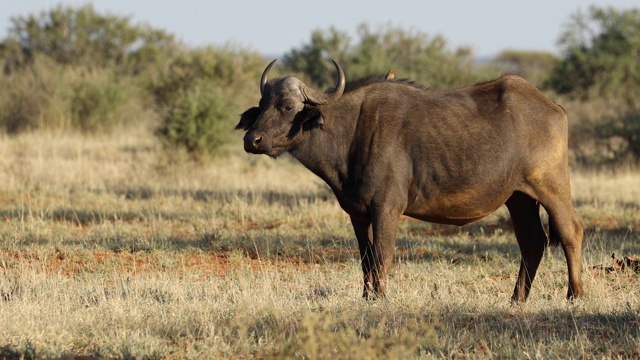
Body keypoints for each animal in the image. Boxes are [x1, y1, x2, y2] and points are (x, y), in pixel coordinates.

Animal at [236, 59, 584, 300]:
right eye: (262, 106)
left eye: (287, 106)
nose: (252, 140)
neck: (350, 132)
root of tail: (554, 107)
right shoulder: (358, 215)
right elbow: (366, 258)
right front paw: (367, 297)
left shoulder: (387, 209)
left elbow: (382, 255)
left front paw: (380, 297)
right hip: (519, 198)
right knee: (532, 242)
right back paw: (516, 299)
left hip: (552, 188)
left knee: (570, 232)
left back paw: (574, 294)